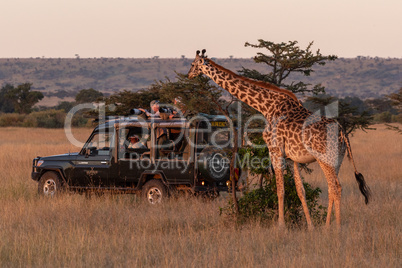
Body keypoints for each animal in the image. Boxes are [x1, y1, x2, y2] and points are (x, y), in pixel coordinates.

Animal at [188, 49, 370, 228]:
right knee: (332, 188)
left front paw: (281, 225)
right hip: (337, 159)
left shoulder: (275, 150)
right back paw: (326, 227)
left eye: (192, 64)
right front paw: (310, 226)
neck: (266, 107)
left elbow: (280, 189)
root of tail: (342, 133)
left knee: (336, 187)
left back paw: (336, 228)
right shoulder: (292, 157)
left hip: (325, 158)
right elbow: (300, 190)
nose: (189, 75)